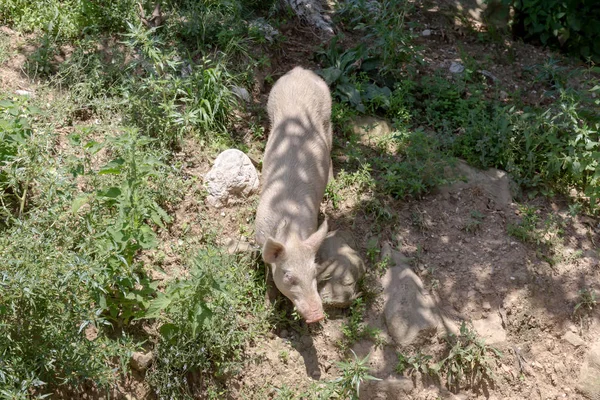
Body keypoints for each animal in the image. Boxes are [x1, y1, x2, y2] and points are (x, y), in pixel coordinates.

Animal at [255, 65, 336, 322]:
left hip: (328, 112)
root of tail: (300, 71)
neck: (289, 231)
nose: (318, 315)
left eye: (314, 272)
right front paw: (269, 303)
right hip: (272, 103)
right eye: (289, 277)